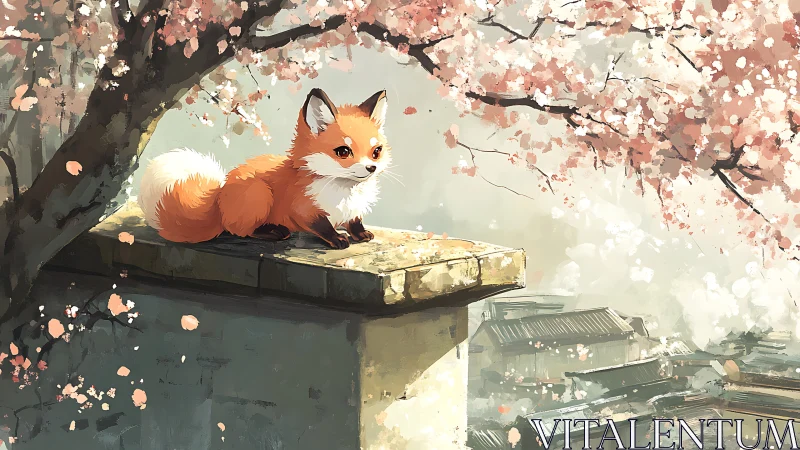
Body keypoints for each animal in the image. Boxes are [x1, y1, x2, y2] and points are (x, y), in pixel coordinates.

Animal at [138, 88, 392, 250]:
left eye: (376, 151)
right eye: (343, 152)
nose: (371, 168)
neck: (344, 194)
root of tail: (219, 200)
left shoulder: (354, 210)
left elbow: (355, 222)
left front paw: (360, 234)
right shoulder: (304, 210)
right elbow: (323, 226)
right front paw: (337, 239)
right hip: (259, 193)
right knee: (238, 230)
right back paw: (273, 231)